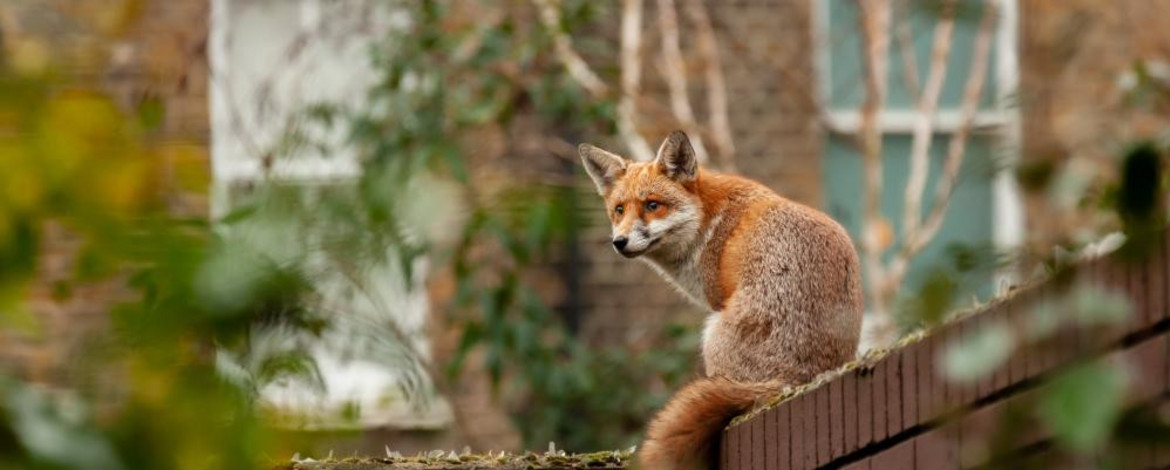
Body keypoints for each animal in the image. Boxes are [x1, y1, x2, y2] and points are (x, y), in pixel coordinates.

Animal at [580, 131, 865, 470]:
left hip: (711, 334)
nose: (619, 242)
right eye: (619, 209)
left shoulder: (717, 299)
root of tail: (797, 380)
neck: (708, 221)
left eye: (653, 205)